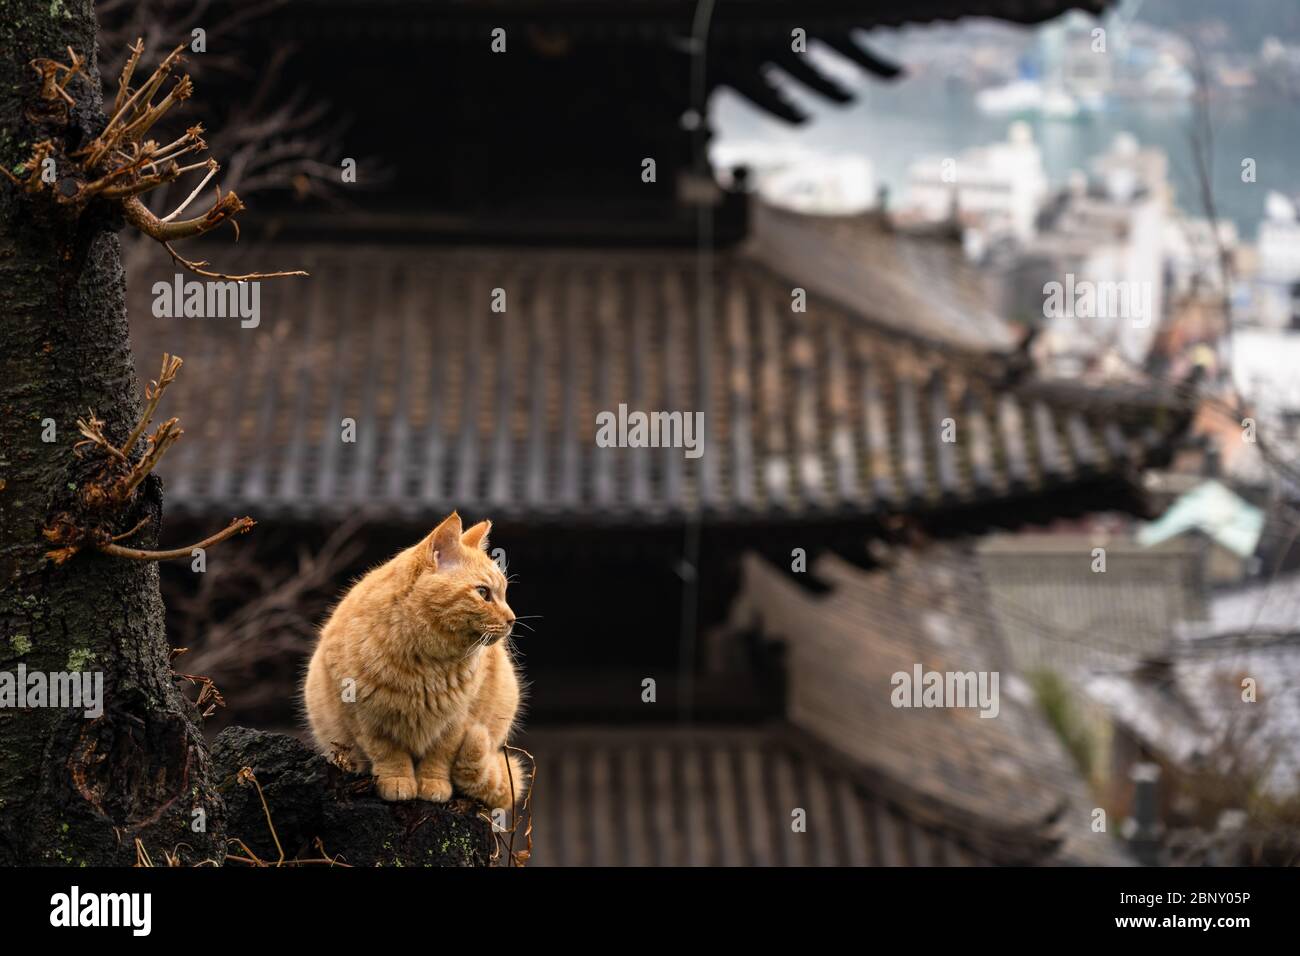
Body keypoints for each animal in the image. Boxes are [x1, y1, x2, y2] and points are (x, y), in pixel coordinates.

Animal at [304, 512, 527, 811]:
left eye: (503, 593)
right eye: (483, 593)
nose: (512, 619)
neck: (426, 663)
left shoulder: (459, 722)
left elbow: (440, 757)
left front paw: (433, 784)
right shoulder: (364, 718)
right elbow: (388, 754)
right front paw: (398, 780)